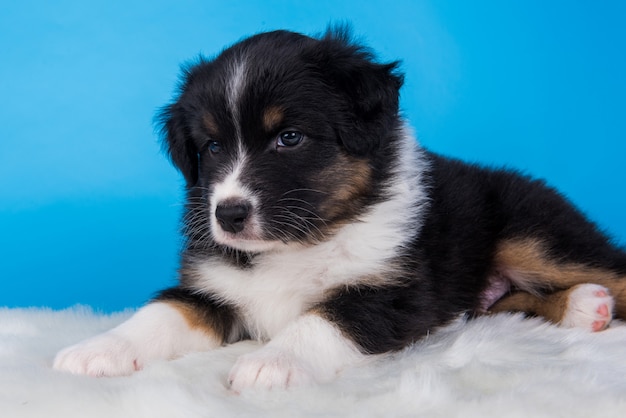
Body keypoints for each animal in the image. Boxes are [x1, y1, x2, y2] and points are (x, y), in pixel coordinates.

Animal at [52, 29, 624, 392]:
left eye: (289, 138)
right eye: (211, 147)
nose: (228, 215)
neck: (301, 241)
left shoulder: (394, 289)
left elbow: (324, 318)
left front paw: (270, 363)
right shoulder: (213, 287)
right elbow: (162, 312)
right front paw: (96, 349)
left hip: (534, 235)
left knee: (609, 270)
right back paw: (583, 308)